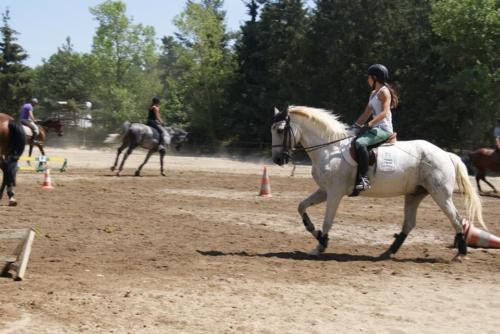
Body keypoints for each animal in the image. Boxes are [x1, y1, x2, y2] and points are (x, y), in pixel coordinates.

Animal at [272, 105, 486, 260]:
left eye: (281, 130)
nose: (277, 160)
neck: (330, 148)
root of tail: (446, 154)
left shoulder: (334, 193)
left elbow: (327, 221)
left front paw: (320, 245)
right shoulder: (324, 191)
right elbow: (301, 207)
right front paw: (315, 232)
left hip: (440, 194)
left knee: (456, 219)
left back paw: (461, 253)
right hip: (415, 194)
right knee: (409, 223)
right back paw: (388, 252)